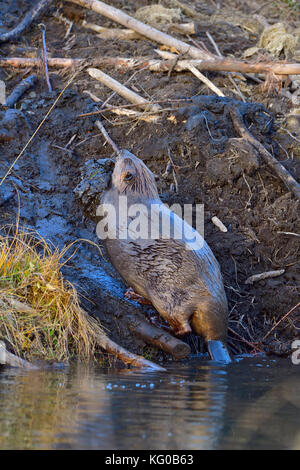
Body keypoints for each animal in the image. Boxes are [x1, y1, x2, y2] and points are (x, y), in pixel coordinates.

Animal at [99, 151, 232, 364]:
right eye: (135, 158)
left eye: (127, 161)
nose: (123, 151)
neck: (136, 194)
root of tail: (216, 339)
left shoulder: (109, 201)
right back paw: (135, 296)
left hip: (168, 298)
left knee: (183, 328)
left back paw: (155, 319)